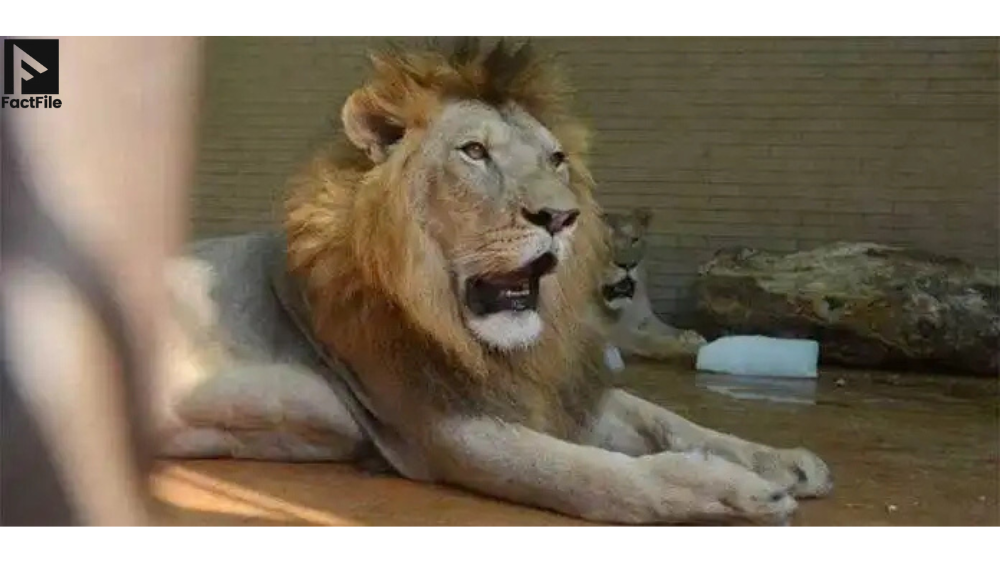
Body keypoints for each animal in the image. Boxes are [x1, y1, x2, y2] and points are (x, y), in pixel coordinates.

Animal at [599, 208, 708, 366]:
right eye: (603, 243)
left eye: (635, 240)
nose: (628, 264)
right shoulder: (612, 331)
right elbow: (652, 342)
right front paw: (694, 349)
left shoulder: (648, 318)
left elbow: (670, 329)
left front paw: (691, 335)